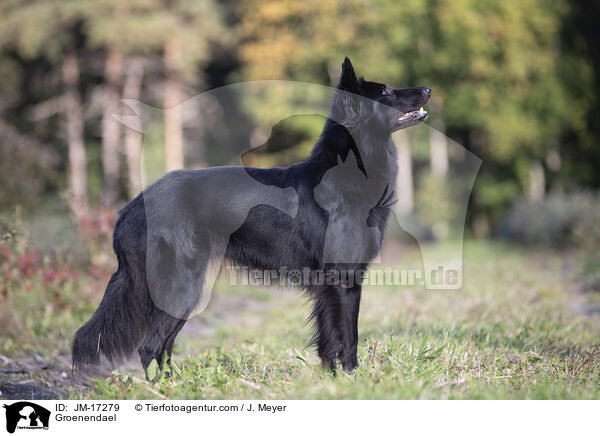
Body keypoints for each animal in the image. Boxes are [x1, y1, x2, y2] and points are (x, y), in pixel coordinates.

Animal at [74, 56, 432, 372]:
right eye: (385, 92)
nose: (429, 88)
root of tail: (130, 208)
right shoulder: (343, 280)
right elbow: (349, 337)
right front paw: (351, 378)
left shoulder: (331, 287)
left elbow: (330, 339)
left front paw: (332, 378)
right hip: (181, 284)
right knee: (150, 347)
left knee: (163, 346)